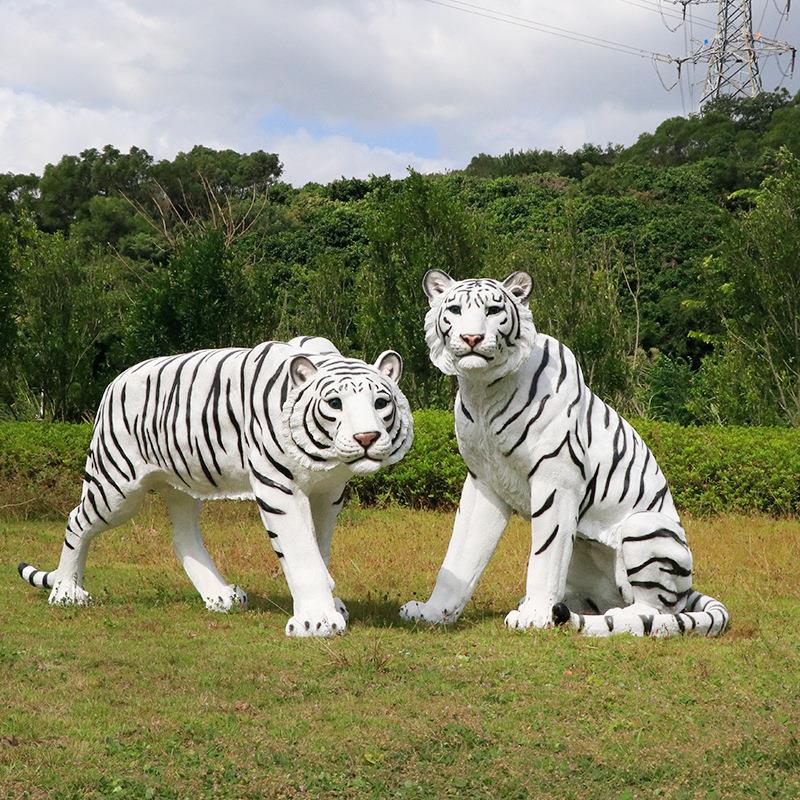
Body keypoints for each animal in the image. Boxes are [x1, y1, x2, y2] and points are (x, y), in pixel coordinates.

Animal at [18, 336, 413, 637]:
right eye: (335, 403)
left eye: (381, 402)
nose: (367, 437)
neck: (325, 460)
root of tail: (117, 379)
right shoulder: (278, 486)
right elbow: (301, 551)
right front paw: (316, 621)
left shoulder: (328, 494)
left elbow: (320, 549)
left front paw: (328, 606)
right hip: (116, 487)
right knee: (77, 520)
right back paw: (67, 592)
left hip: (180, 486)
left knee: (183, 538)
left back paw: (221, 596)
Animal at [400, 271, 729, 637]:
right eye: (455, 309)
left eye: (492, 311)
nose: (472, 338)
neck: (482, 388)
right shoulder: (483, 481)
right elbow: (461, 554)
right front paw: (433, 612)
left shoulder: (556, 479)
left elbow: (544, 555)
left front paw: (533, 616)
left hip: (646, 527)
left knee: (651, 611)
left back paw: (602, 619)